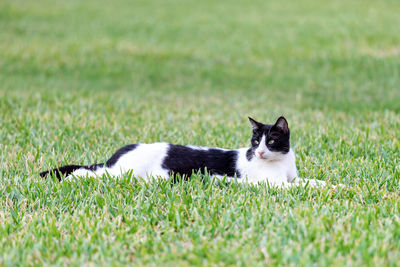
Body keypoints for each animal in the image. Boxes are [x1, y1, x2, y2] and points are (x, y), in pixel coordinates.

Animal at [40, 116, 328, 188]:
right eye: (256, 141)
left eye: (272, 141)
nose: (257, 153)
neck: (283, 162)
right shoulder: (274, 184)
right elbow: (298, 187)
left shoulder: (292, 177)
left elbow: (310, 181)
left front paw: (331, 185)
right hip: (119, 173)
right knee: (87, 172)